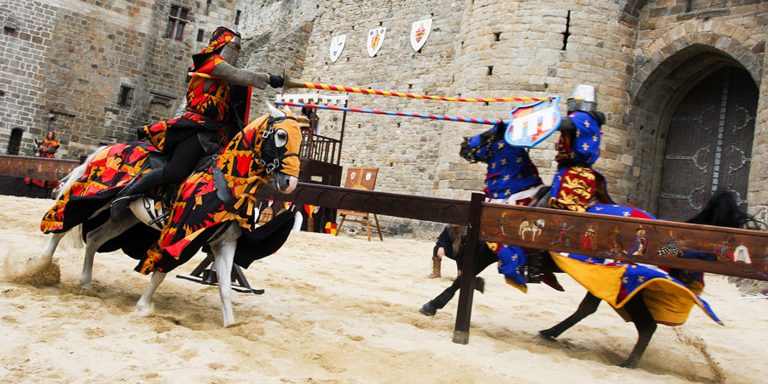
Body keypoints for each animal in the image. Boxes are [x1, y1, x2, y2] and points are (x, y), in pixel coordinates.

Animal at [40, 106, 302, 328]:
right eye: (281, 135)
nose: (290, 183)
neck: (229, 179)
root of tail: (106, 148)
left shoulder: (224, 243)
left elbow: (225, 287)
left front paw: (230, 324)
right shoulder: (179, 236)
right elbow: (160, 271)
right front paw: (143, 307)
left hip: (125, 216)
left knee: (94, 238)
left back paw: (85, 282)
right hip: (92, 196)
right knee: (62, 222)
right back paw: (40, 267)